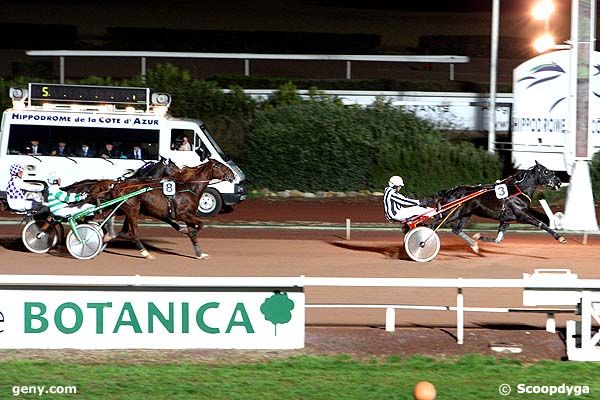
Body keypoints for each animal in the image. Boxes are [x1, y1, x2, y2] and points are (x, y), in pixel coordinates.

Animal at [103, 159, 234, 260]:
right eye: (220, 165)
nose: (233, 175)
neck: (190, 188)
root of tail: (119, 185)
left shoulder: (188, 215)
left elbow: (194, 231)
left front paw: (200, 254)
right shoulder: (182, 215)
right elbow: (200, 225)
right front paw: (189, 233)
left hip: (125, 209)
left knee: (112, 218)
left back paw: (108, 235)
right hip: (132, 210)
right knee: (133, 233)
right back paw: (146, 253)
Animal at [424, 160, 564, 252]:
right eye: (546, 172)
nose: (558, 181)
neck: (518, 190)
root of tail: (448, 192)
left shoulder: (506, 220)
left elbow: (498, 239)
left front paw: (479, 236)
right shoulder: (522, 214)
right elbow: (542, 224)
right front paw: (559, 237)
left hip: (465, 214)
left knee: (456, 230)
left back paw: (474, 245)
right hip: (451, 214)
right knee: (432, 226)